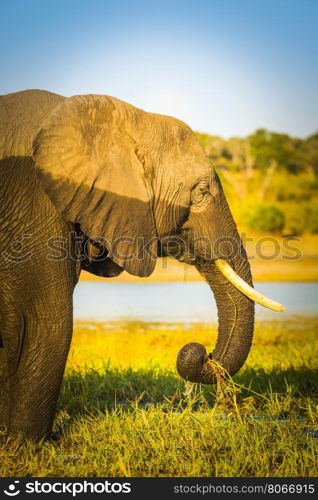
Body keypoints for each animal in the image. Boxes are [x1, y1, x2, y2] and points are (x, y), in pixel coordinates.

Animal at [0, 90, 284, 442]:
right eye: (201, 191)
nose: (200, 351)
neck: (126, 120)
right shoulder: (34, 203)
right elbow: (44, 321)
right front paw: (27, 445)